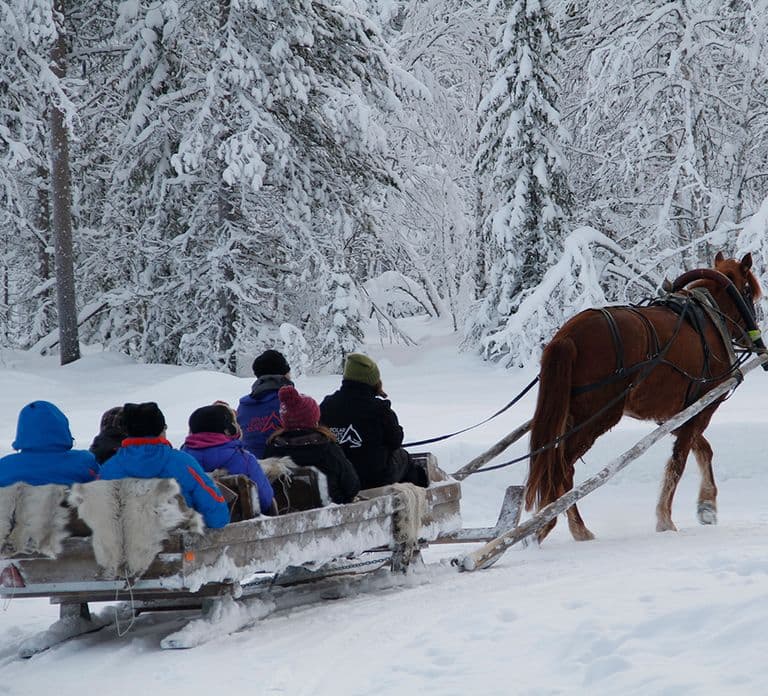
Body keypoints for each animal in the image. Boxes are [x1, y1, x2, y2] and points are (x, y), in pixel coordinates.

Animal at [525, 252, 763, 544]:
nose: (754, 337)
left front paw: (707, 506)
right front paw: (665, 520)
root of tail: (568, 336)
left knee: (554, 465)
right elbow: (679, 461)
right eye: (748, 291)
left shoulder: (674, 415)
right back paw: (570, 528)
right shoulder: (703, 406)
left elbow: (703, 450)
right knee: (562, 469)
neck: (710, 319)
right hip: (597, 418)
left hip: (570, 415)